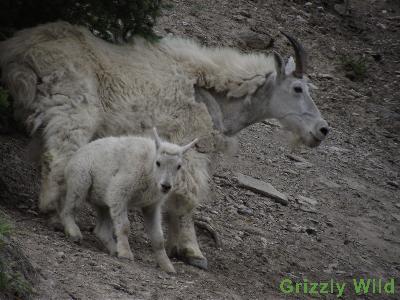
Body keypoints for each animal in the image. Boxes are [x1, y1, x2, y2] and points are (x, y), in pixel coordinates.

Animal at [60, 127, 198, 274]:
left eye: (179, 166)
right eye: (158, 162)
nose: (166, 186)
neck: (149, 167)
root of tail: (74, 157)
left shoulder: (152, 206)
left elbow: (158, 238)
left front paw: (167, 266)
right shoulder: (119, 192)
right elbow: (125, 226)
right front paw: (125, 253)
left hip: (102, 198)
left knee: (101, 228)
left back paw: (113, 249)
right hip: (80, 180)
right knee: (69, 208)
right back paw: (74, 232)